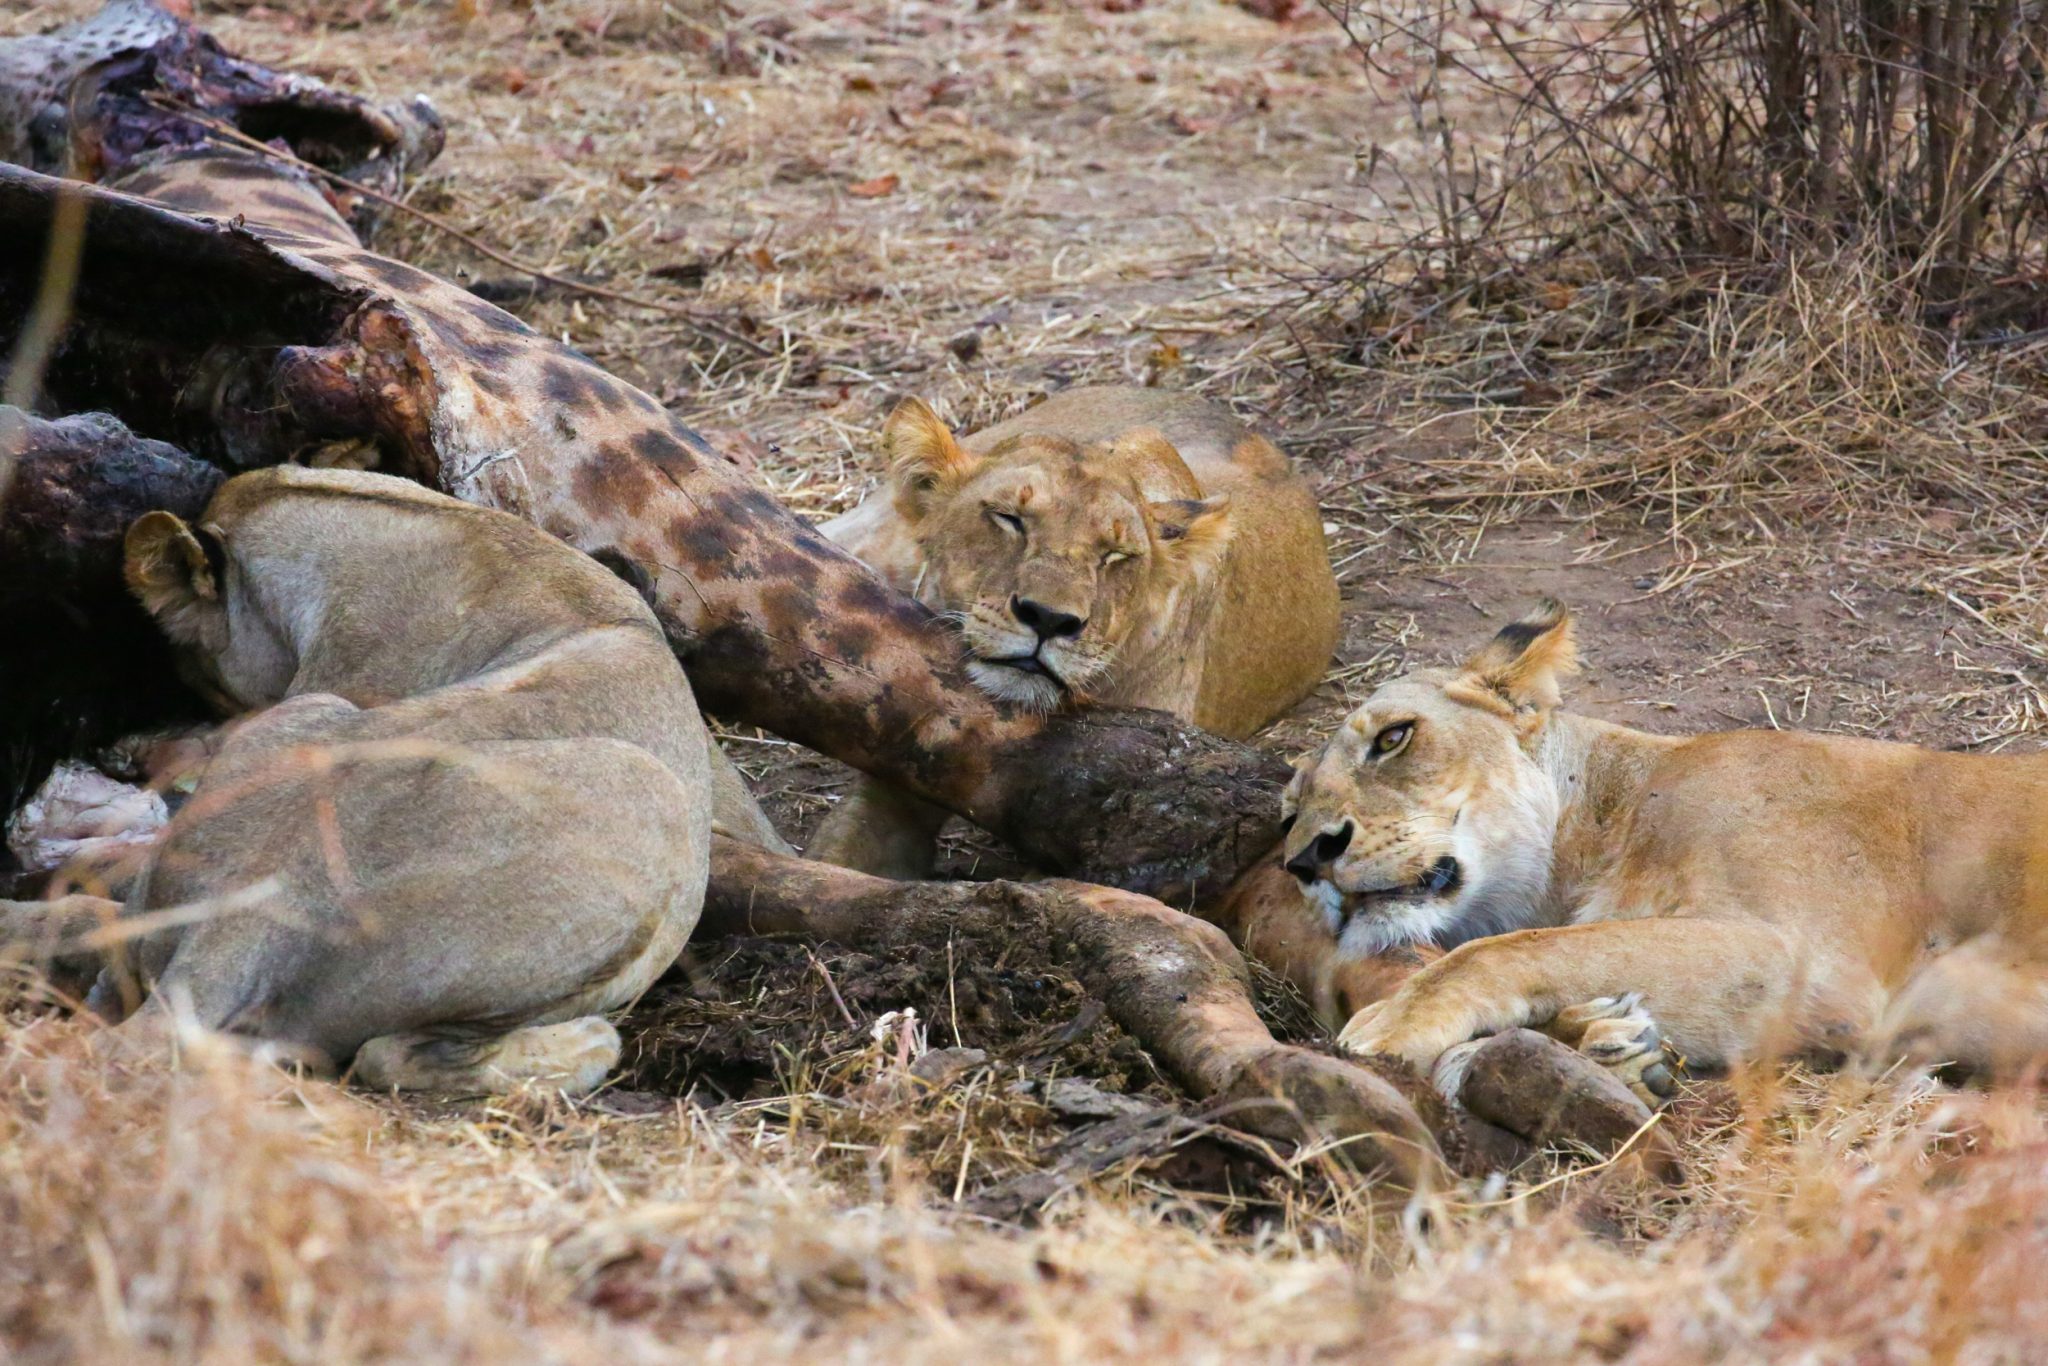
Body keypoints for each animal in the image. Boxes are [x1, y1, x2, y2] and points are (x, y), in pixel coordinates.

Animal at [1277, 599, 2048, 1105]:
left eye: (1394, 738)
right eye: (1290, 810)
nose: (1306, 860)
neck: (1609, 823)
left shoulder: (1811, 963)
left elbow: (1514, 948)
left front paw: (1391, 1022)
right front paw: (1611, 1041)